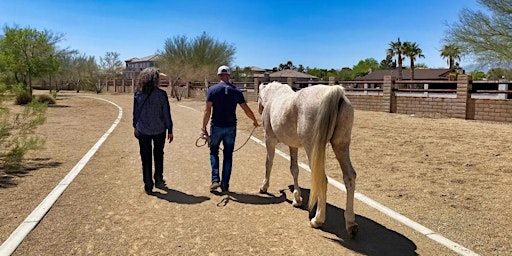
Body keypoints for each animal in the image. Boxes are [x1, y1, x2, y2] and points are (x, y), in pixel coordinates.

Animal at [258, 81, 358, 237]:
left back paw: (317, 220)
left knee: (322, 179)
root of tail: (335, 92)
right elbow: (294, 169)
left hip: (313, 149)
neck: (274, 97)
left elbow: (268, 163)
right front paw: (297, 198)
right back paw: (351, 224)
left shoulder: (269, 140)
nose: (258, 110)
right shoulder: (293, 145)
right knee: (349, 177)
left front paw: (264, 187)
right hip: (341, 146)